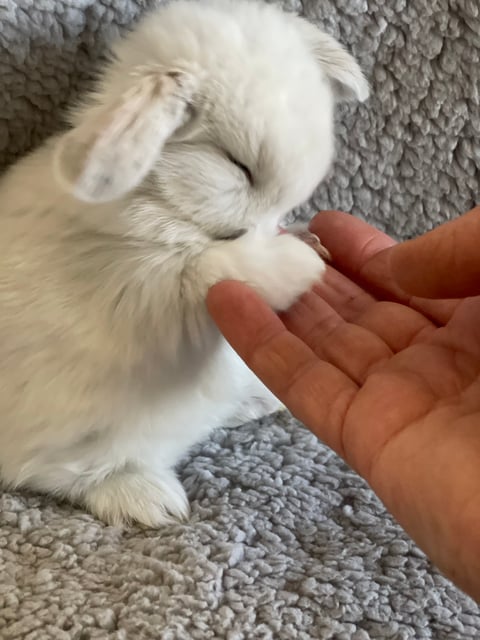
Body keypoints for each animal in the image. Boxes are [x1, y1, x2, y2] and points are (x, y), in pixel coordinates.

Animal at [0, 0, 370, 524]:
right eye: (239, 165)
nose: (277, 229)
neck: (158, 198)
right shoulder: (144, 287)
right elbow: (209, 269)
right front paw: (304, 263)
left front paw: (310, 241)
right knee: (56, 473)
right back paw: (153, 500)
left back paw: (259, 400)